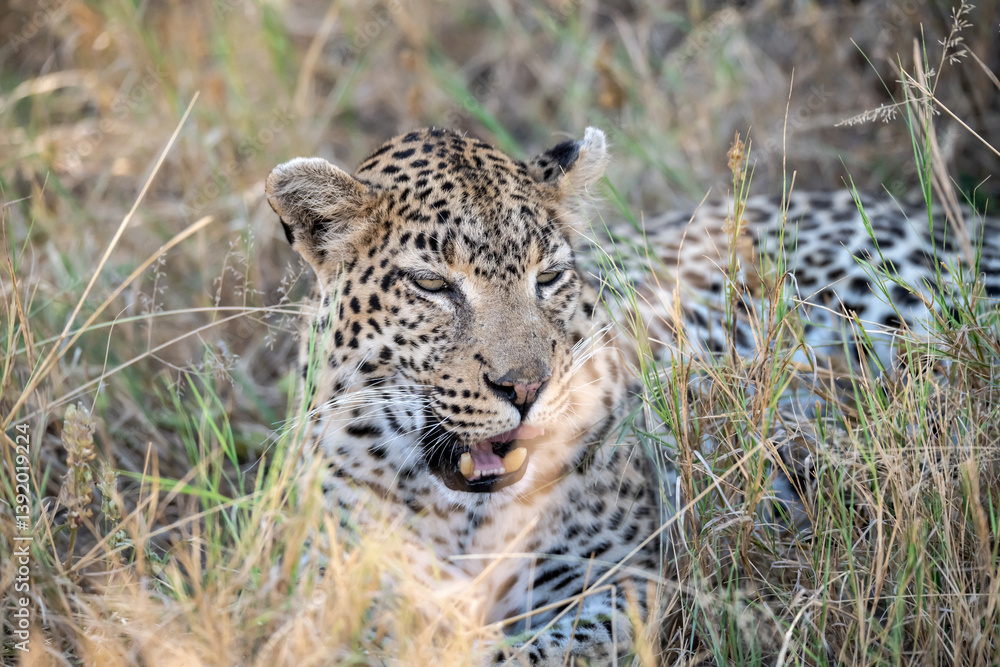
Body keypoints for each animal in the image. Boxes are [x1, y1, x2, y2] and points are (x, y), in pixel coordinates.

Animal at [264, 126, 1000, 666]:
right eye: (432, 285)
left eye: (548, 277)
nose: (526, 387)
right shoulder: (331, 585)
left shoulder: (618, 580)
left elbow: (535, 651)